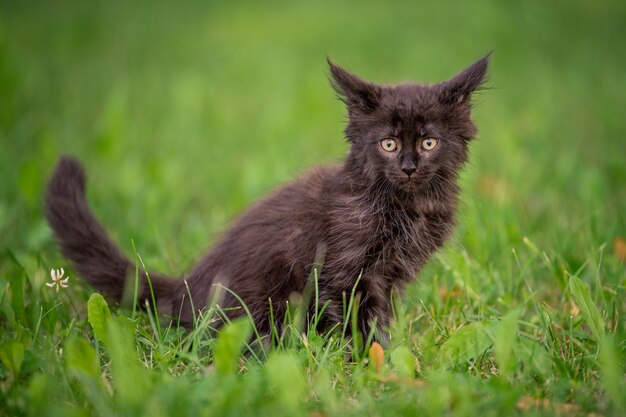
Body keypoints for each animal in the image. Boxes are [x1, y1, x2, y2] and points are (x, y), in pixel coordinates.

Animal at [46, 55, 490, 336]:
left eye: (429, 142)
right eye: (389, 144)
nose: (409, 167)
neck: (407, 204)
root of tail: (186, 288)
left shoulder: (389, 277)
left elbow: (380, 315)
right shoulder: (342, 270)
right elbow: (352, 319)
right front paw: (365, 361)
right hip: (260, 301)